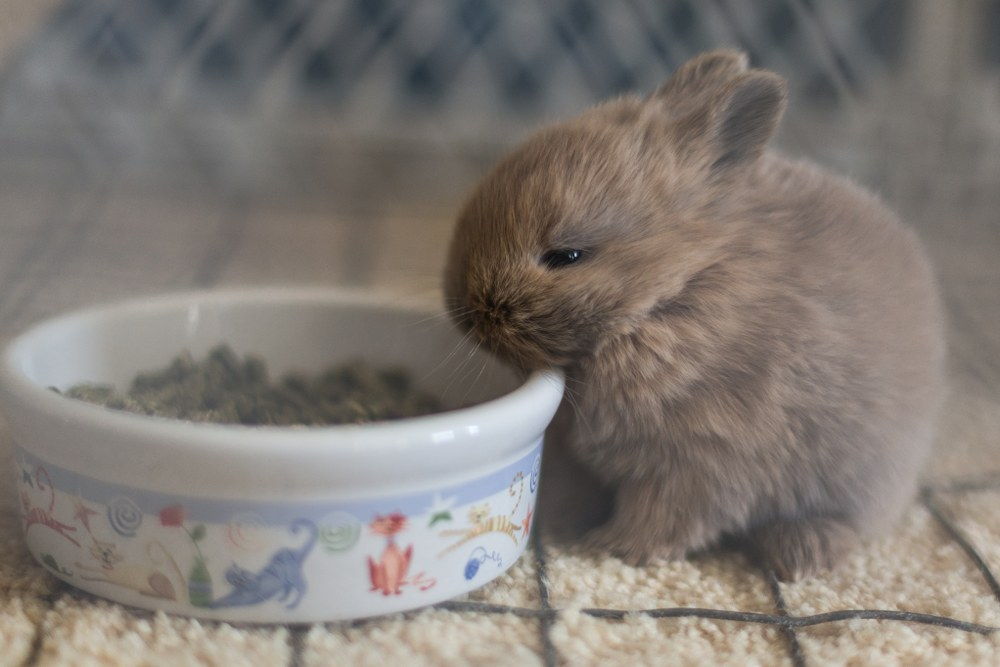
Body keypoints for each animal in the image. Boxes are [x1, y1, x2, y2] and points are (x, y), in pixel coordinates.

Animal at [446, 49, 944, 580]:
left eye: (567, 256)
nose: (465, 310)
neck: (672, 293)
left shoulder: (699, 460)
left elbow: (665, 516)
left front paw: (611, 547)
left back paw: (802, 554)